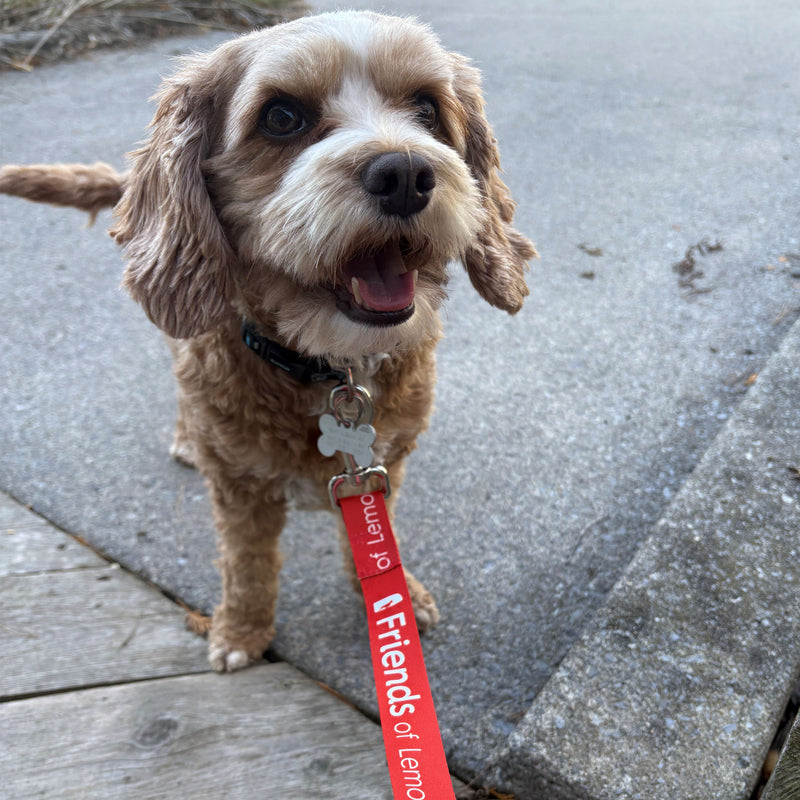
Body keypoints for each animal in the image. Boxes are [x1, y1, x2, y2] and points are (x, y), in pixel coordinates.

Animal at [1, 12, 536, 672]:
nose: (406, 174)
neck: (327, 367)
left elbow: (375, 539)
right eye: (281, 117)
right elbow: (247, 565)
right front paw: (241, 630)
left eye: (427, 108)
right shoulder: (239, 486)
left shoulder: (381, 461)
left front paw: (396, 598)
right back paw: (187, 438)